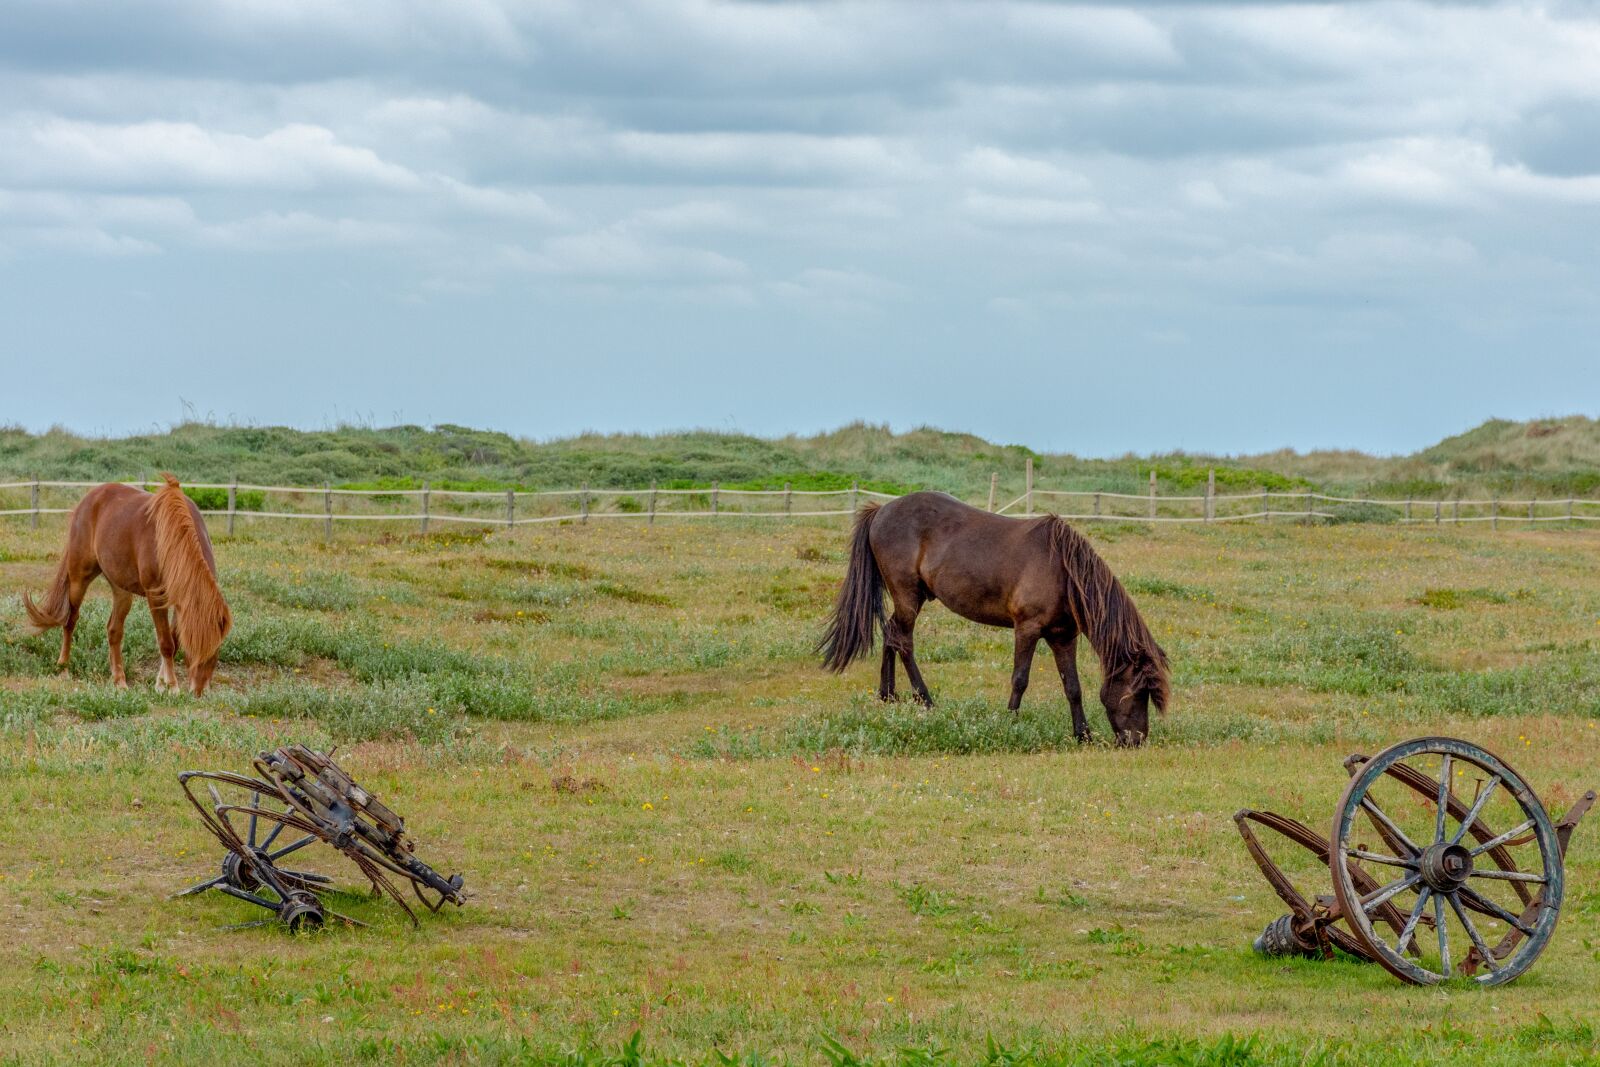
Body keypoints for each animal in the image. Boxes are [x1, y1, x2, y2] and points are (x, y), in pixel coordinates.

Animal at [23, 474, 232, 696]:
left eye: (216, 651)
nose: (199, 692)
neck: (172, 538)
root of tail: (88, 499)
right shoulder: (156, 597)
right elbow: (166, 642)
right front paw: (172, 686)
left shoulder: (180, 601)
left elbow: (174, 641)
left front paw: (160, 684)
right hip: (80, 577)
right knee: (70, 620)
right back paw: (64, 668)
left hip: (121, 590)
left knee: (114, 630)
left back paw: (119, 681)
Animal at [818, 491, 1169, 746]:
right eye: (1138, 692)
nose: (1136, 741)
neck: (1063, 571)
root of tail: (881, 510)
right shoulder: (1027, 629)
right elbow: (1020, 679)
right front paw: (1010, 722)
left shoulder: (1062, 635)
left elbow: (1073, 686)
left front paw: (1082, 734)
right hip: (908, 596)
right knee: (902, 640)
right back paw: (926, 700)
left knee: (891, 634)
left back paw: (889, 696)